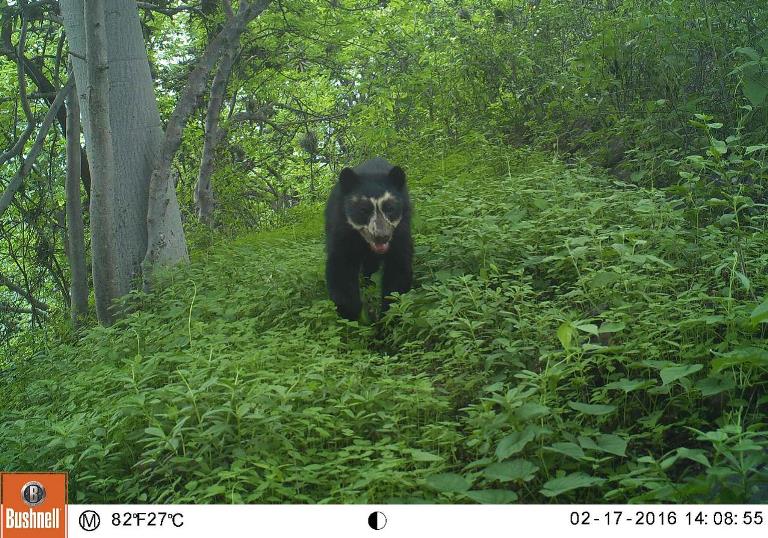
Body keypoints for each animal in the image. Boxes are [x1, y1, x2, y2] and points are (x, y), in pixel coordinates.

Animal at [324, 157, 413, 320]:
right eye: (363, 210)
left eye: (390, 209)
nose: (381, 237)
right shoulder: (341, 229)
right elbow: (341, 268)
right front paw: (352, 315)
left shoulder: (400, 231)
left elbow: (398, 267)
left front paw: (387, 316)